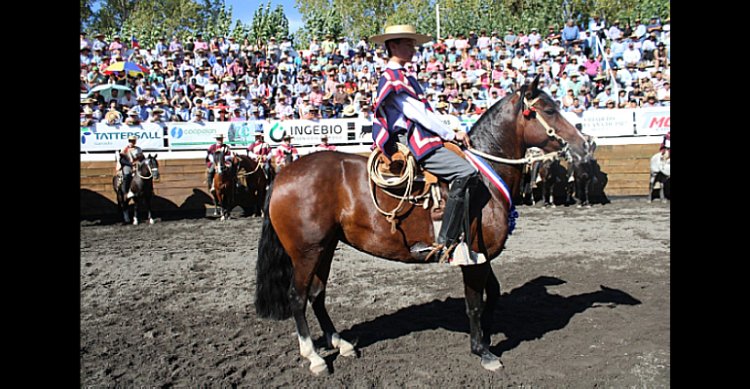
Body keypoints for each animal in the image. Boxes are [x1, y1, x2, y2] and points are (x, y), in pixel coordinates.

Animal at [256, 74, 592, 374]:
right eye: (549, 110)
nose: (584, 145)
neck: (484, 177)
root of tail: (284, 174)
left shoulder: (482, 255)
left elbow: (493, 294)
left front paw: (487, 335)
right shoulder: (472, 258)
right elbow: (474, 303)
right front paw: (482, 351)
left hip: (325, 248)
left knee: (317, 294)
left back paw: (341, 343)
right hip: (306, 252)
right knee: (297, 297)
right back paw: (314, 357)